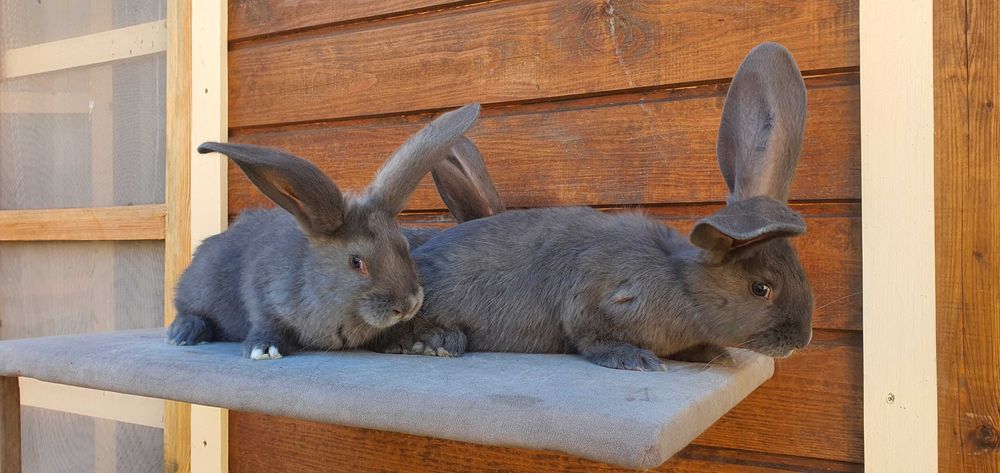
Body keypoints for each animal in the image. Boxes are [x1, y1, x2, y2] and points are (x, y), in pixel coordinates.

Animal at [167, 103, 480, 360]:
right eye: (356, 262)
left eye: (403, 246)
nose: (408, 305)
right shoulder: (260, 292)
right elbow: (265, 321)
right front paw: (264, 349)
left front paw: (423, 341)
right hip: (197, 288)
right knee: (186, 309)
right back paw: (184, 334)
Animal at [376, 43, 812, 368]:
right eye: (761, 289)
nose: (802, 339)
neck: (681, 282)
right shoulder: (597, 300)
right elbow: (592, 336)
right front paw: (635, 359)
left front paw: (717, 354)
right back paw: (436, 342)